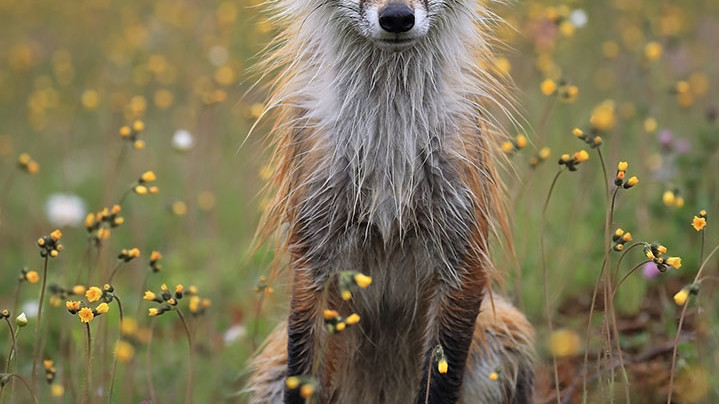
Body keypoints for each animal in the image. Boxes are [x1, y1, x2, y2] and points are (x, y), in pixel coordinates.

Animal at [246, 0, 535, 403]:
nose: (397, 17)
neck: (389, 159)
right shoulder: (313, 257)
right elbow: (302, 375)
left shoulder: (462, 253)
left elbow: (439, 382)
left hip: (507, 332)